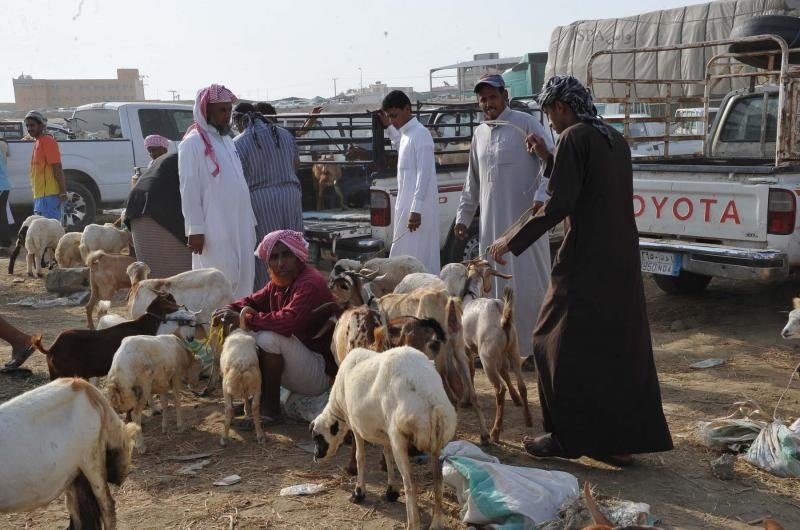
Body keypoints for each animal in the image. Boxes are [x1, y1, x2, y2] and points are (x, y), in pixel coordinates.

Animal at [312, 346, 456, 528]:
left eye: (317, 437)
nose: (315, 456)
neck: (338, 404)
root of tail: (430, 400)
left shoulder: (357, 427)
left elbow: (360, 457)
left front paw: (358, 493)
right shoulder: (385, 433)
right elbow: (387, 457)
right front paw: (391, 491)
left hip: (399, 437)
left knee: (410, 483)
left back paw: (413, 524)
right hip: (436, 441)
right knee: (438, 481)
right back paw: (436, 523)